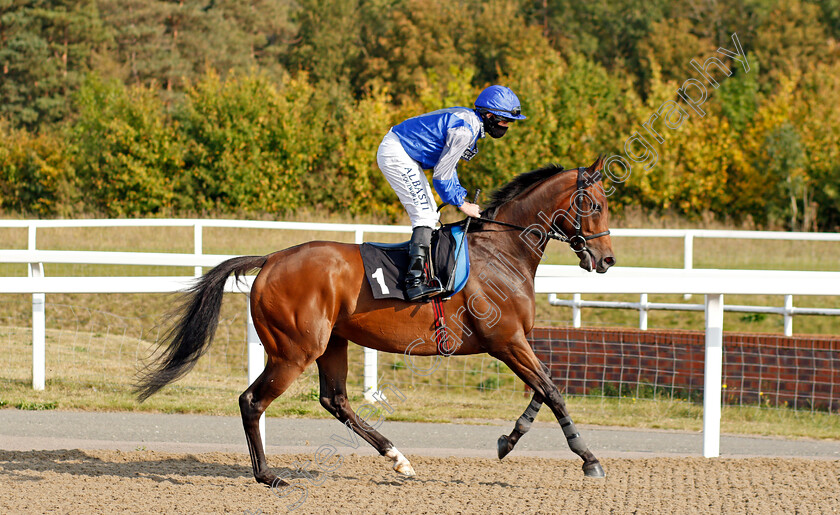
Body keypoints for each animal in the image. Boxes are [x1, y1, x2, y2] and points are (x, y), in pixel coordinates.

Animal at [133, 155, 616, 486]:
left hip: (332, 343)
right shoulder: (506, 341)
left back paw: (397, 457)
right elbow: (552, 392)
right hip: (294, 349)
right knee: (252, 401)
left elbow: (543, 390)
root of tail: (270, 259)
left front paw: (508, 440)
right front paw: (589, 459)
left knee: (335, 400)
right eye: (593, 203)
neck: (502, 252)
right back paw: (268, 475)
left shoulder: (516, 340)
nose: (607, 260)